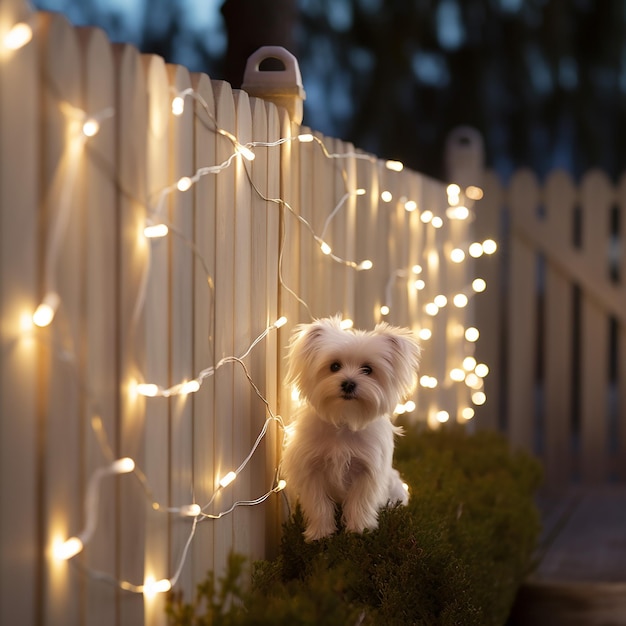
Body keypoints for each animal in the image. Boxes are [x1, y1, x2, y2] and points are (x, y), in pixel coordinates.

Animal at [282, 314, 420, 540]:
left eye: (368, 369)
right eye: (334, 366)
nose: (348, 383)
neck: (344, 421)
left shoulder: (366, 471)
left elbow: (360, 503)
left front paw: (359, 531)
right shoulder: (312, 471)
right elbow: (318, 505)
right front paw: (320, 534)